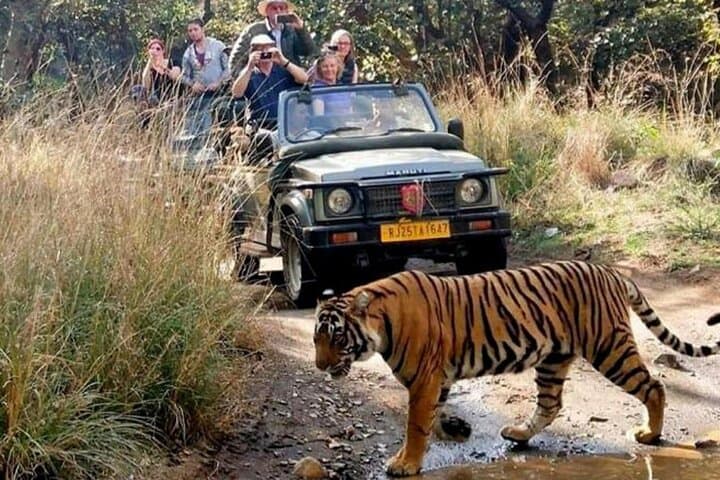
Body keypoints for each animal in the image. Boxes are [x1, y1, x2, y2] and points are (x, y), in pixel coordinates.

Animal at [313, 261, 720, 477]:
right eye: (316, 339)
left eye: (336, 337)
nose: (319, 365)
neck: (381, 324)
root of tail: (611, 272)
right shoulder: (436, 378)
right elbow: (434, 414)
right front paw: (454, 429)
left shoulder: (425, 378)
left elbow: (415, 424)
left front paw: (405, 463)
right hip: (554, 359)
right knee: (551, 404)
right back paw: (519, 434)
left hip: (609, 347)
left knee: (653, 386)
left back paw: (650, 434)